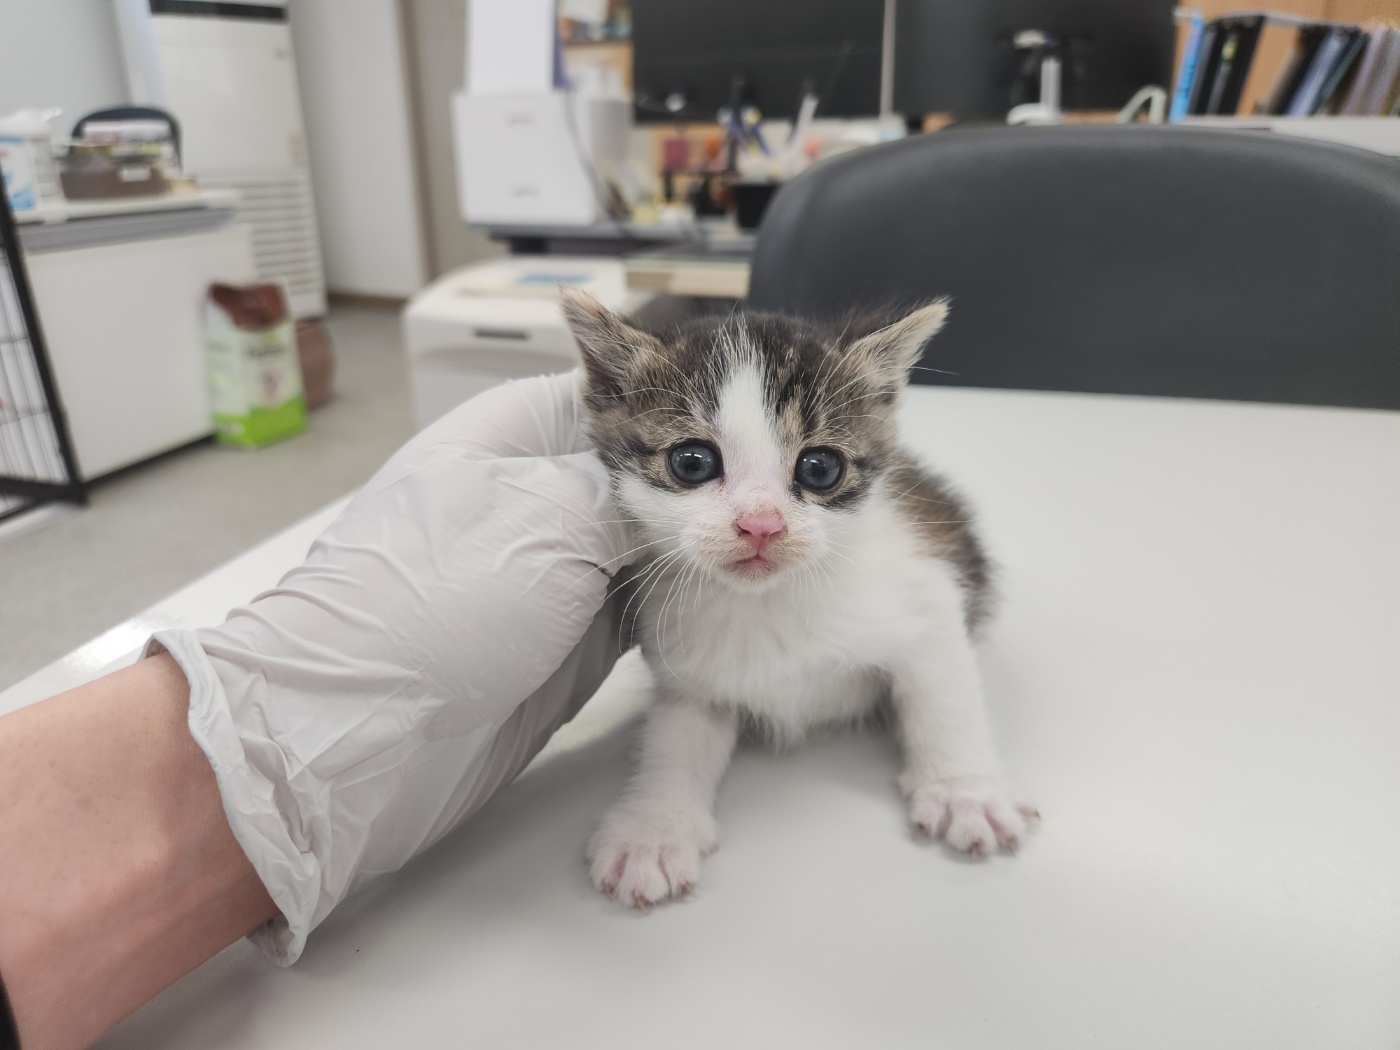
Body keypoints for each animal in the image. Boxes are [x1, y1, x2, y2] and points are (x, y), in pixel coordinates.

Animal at [560, 289, 1041, 912]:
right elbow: (675, 737)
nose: (761, 525)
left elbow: (945, 697)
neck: (771, 601)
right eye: (691, 462)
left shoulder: (926, 594)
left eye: (820, 468)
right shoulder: (691, 664)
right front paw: (653, 829)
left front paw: (966, 791)